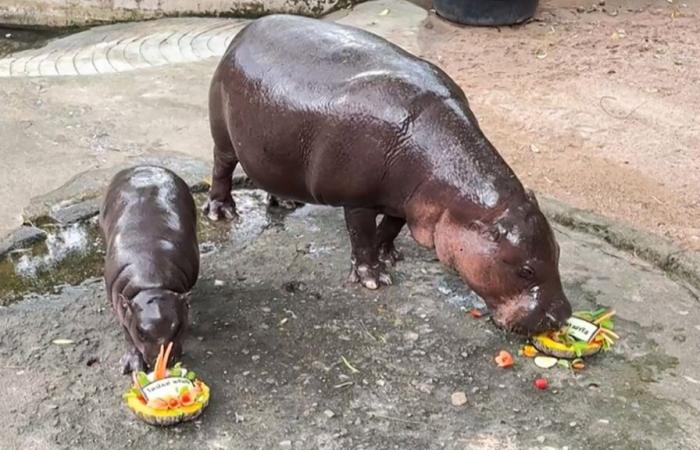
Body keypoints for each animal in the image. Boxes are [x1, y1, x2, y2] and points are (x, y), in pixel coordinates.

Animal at [98, 165, 198, 372]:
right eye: (141, 332)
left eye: (178, 328)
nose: (161, 363)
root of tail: (144, 166)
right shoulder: (122, 306)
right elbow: (127, 333)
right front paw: (132, 366)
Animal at [205, 15, 572, 336]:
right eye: (525, 270)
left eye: (557, 251)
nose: (562, 316)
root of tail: (244, 32)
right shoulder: (357, 200)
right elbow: (362, 236)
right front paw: (374, 279)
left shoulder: (407, 200)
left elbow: (391, 227)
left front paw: (390, 256)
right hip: (223, 135)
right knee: (222, 168)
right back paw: (222, 212)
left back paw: (283, 202)